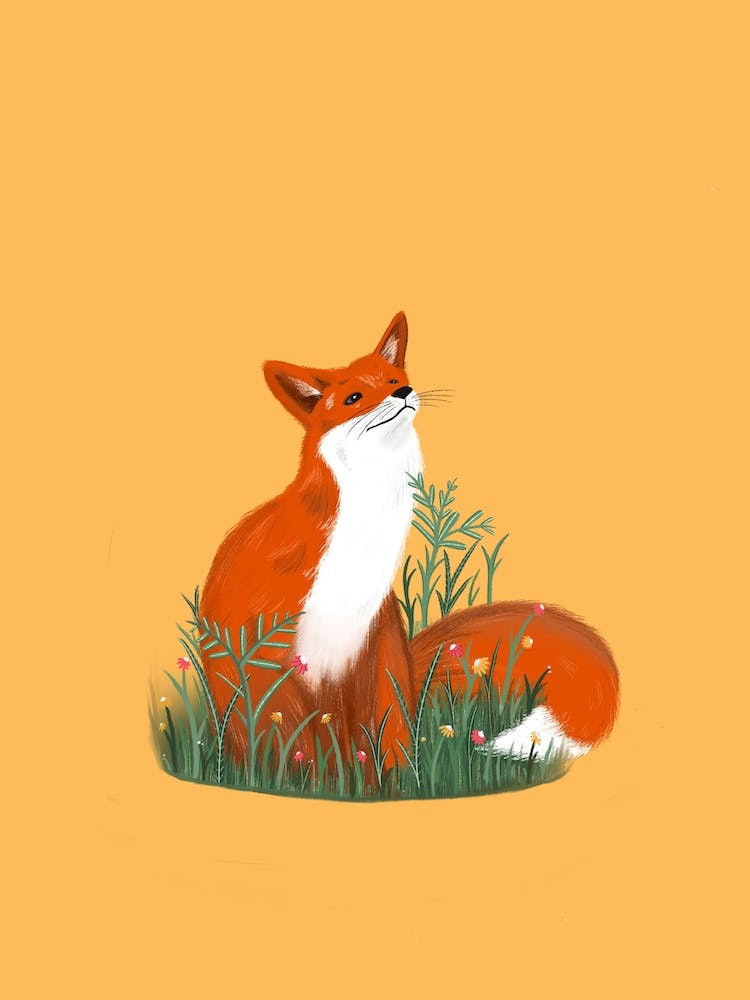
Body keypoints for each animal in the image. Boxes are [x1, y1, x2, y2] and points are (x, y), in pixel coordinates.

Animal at [199, 312, 619, 768]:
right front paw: (302, 777)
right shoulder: (267, 653)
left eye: (394, 378)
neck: (355, 553)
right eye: (354, 398)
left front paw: (396, 776)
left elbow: (392, 727)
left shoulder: (377, 637)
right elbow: (289, 742)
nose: (402, 392)